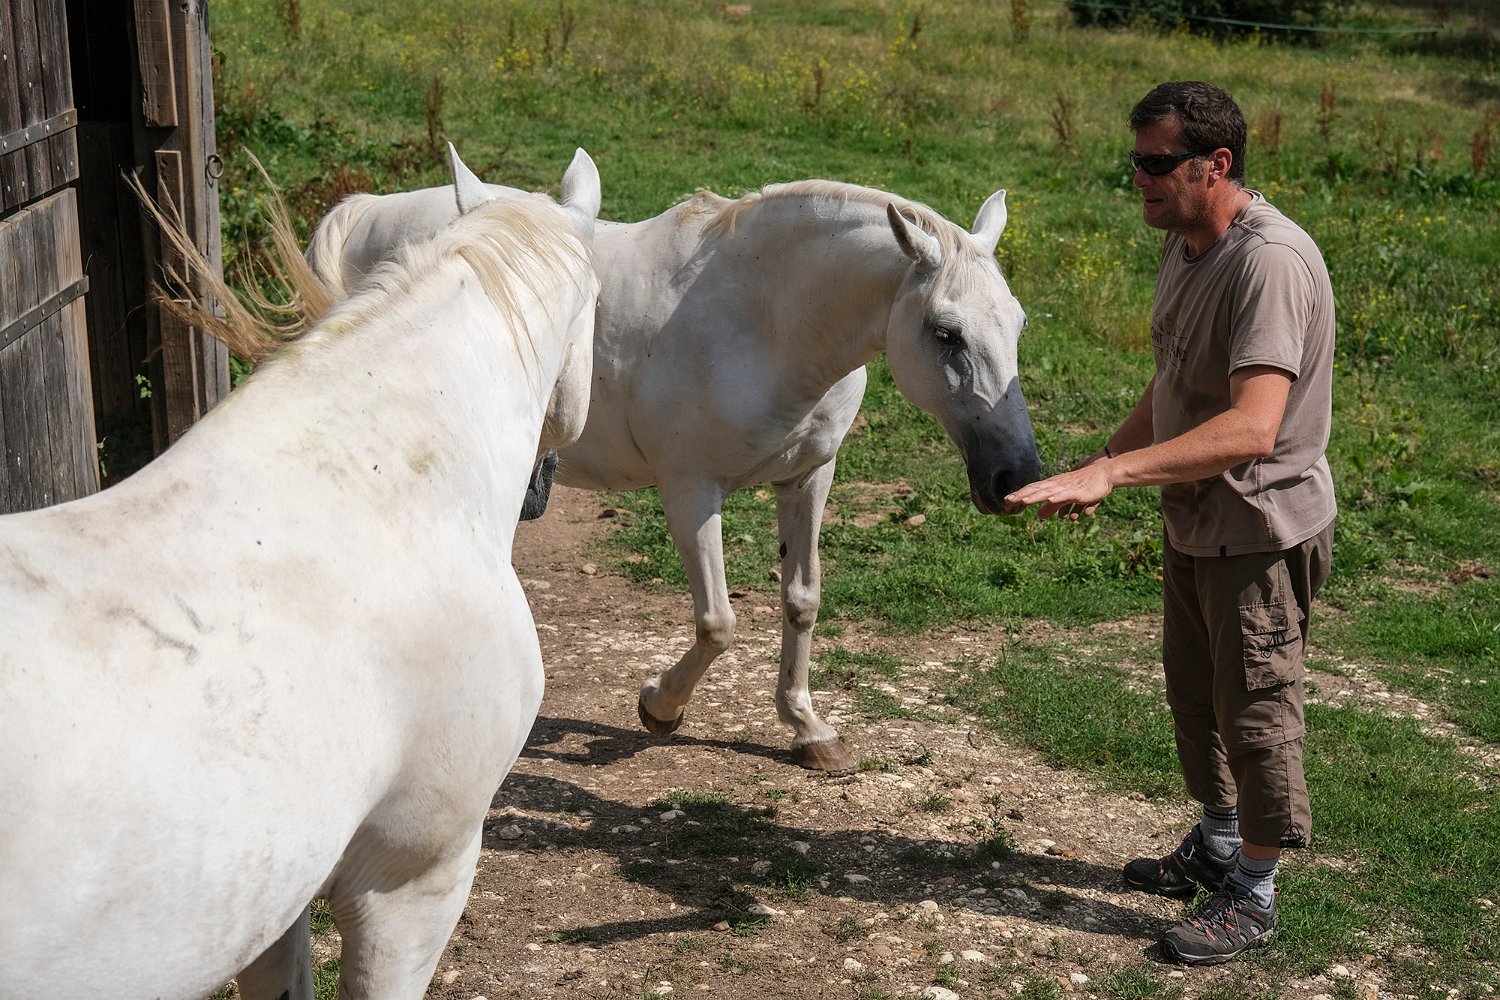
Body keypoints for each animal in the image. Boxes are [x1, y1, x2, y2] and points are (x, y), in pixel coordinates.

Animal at [308, 172, 1040, 773]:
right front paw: (660, 706)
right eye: (946, 332)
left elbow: (801, 599)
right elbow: (717, 621)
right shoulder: (691, 490)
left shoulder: (808, 477)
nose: (1016, 476)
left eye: (1019, 323)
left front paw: (807, 727)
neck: (764, 323)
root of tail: (366, 212)